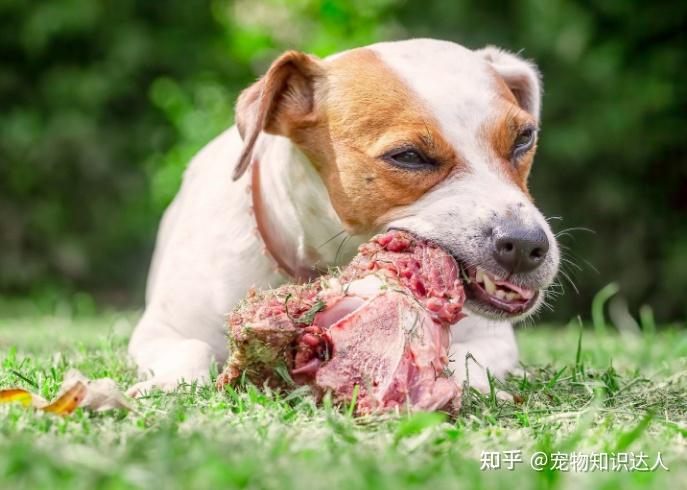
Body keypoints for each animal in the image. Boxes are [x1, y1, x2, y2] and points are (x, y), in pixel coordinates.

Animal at [127, 38, 560, 398]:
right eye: (409, 156)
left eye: (524, 138)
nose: (526, 244)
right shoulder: (161, 331)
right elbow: (192, 347)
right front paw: (169, 383)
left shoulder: (493, 339)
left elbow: (468, 363)